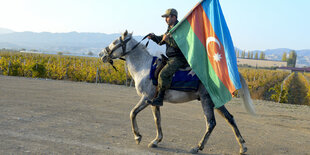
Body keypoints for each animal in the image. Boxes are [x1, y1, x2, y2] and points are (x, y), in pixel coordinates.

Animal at [99, 30, 254, 154]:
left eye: (115, 42)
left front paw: (138, 136)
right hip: (217, 102)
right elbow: (157, 120)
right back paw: (243, 147)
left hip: (207, 100)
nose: (102, 54)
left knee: (211, 123)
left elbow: (132, 113)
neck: (144, 67)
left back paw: (197, 147)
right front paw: (156, 141)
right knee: (230, 118)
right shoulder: (154, 102)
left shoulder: (146, 98)